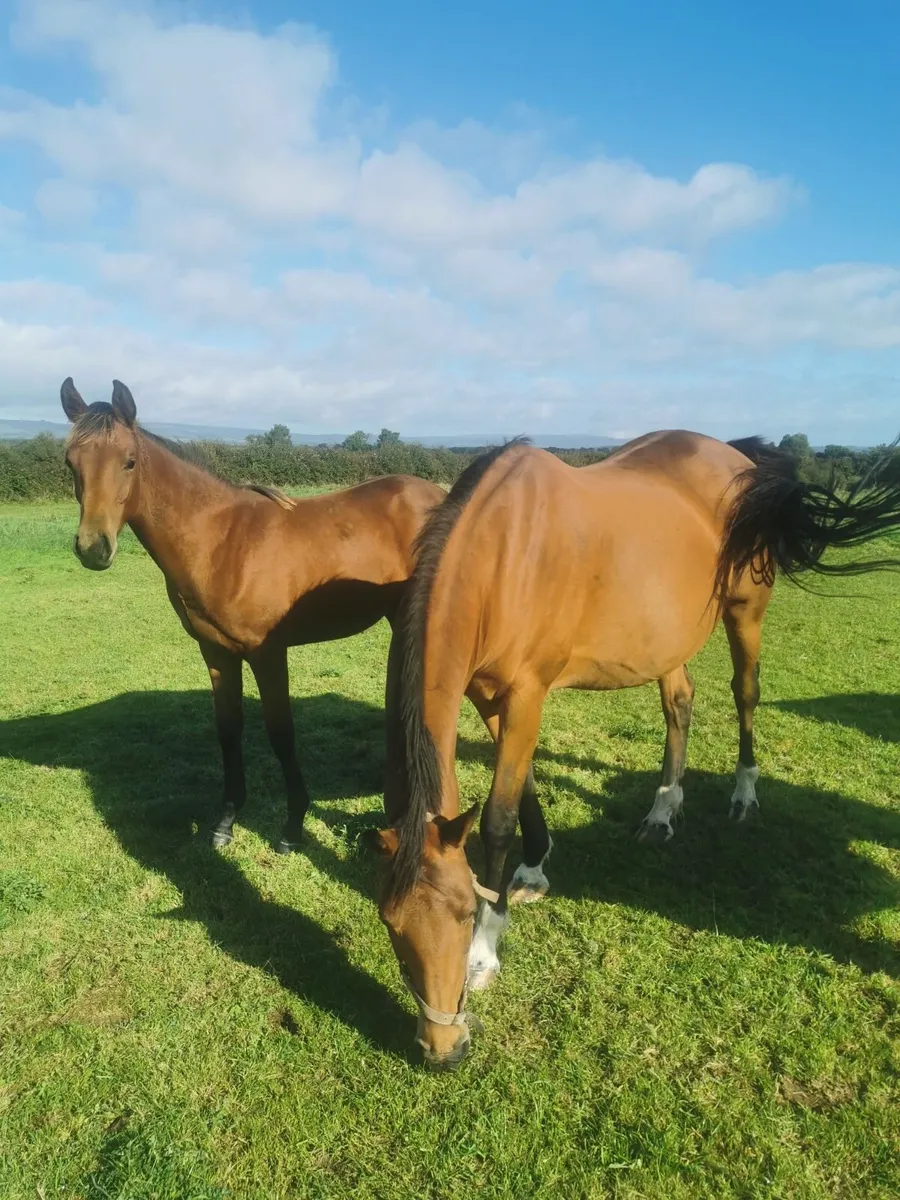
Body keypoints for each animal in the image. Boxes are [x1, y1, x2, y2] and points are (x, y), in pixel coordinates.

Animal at [60, 377, 444, 853]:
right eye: (70, 461)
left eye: (129, 461)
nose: (93, 548)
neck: (222, 542)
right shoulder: (216, 652)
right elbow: (229, 730)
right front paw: (225, 821)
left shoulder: (267, 653)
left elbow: (281, 733)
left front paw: (293, 826)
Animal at [364, 430, 900, 1068]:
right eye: (391, 927)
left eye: (463, 913)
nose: (442, 1049)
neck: (501, 558)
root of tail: (737, 457)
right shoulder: (490, 697)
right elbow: (526, 790)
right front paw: (535, 869)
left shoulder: (526, 695)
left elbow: (497, 818)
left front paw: (486, 951)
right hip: (668, 639)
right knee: (680, 703)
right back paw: (663, 811)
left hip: (745, 612)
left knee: (745, 693)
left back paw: (744, 795)